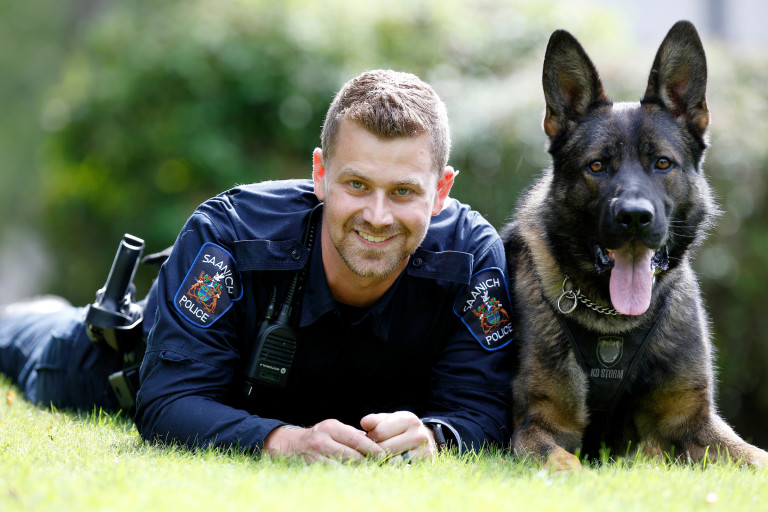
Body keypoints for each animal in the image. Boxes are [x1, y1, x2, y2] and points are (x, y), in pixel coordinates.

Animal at [500, 20, 768, 470]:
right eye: (596, 166)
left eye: (662, 163)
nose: (634, 218)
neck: (614, 322)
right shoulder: (538, 427)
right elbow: (566, 463)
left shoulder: (695, 421)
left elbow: (756, 457)